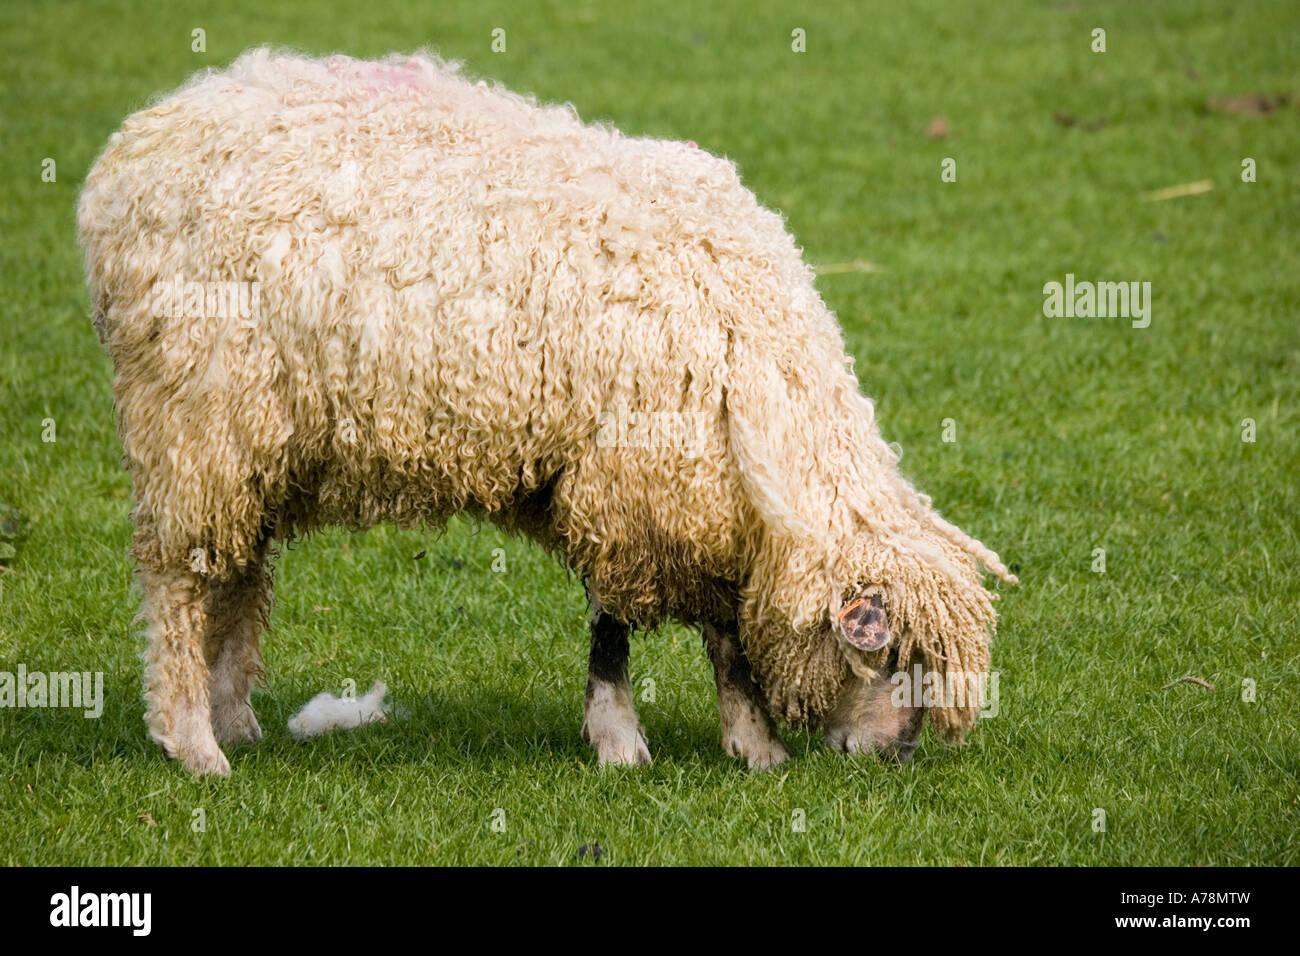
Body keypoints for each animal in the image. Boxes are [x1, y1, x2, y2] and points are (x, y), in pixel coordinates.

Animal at [76, 46, 1019, 780]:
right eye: (888, 655)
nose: (893, 758)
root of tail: (138, 142)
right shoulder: (634, 479)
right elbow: (634, 627)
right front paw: (636, 742)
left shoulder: (686, 494)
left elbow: (712, 626)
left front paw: (746, 745)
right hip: (191, 413)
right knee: (178, 581)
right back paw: (192, 740)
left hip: (254, 435)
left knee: (236, 568)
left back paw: (234, 715)